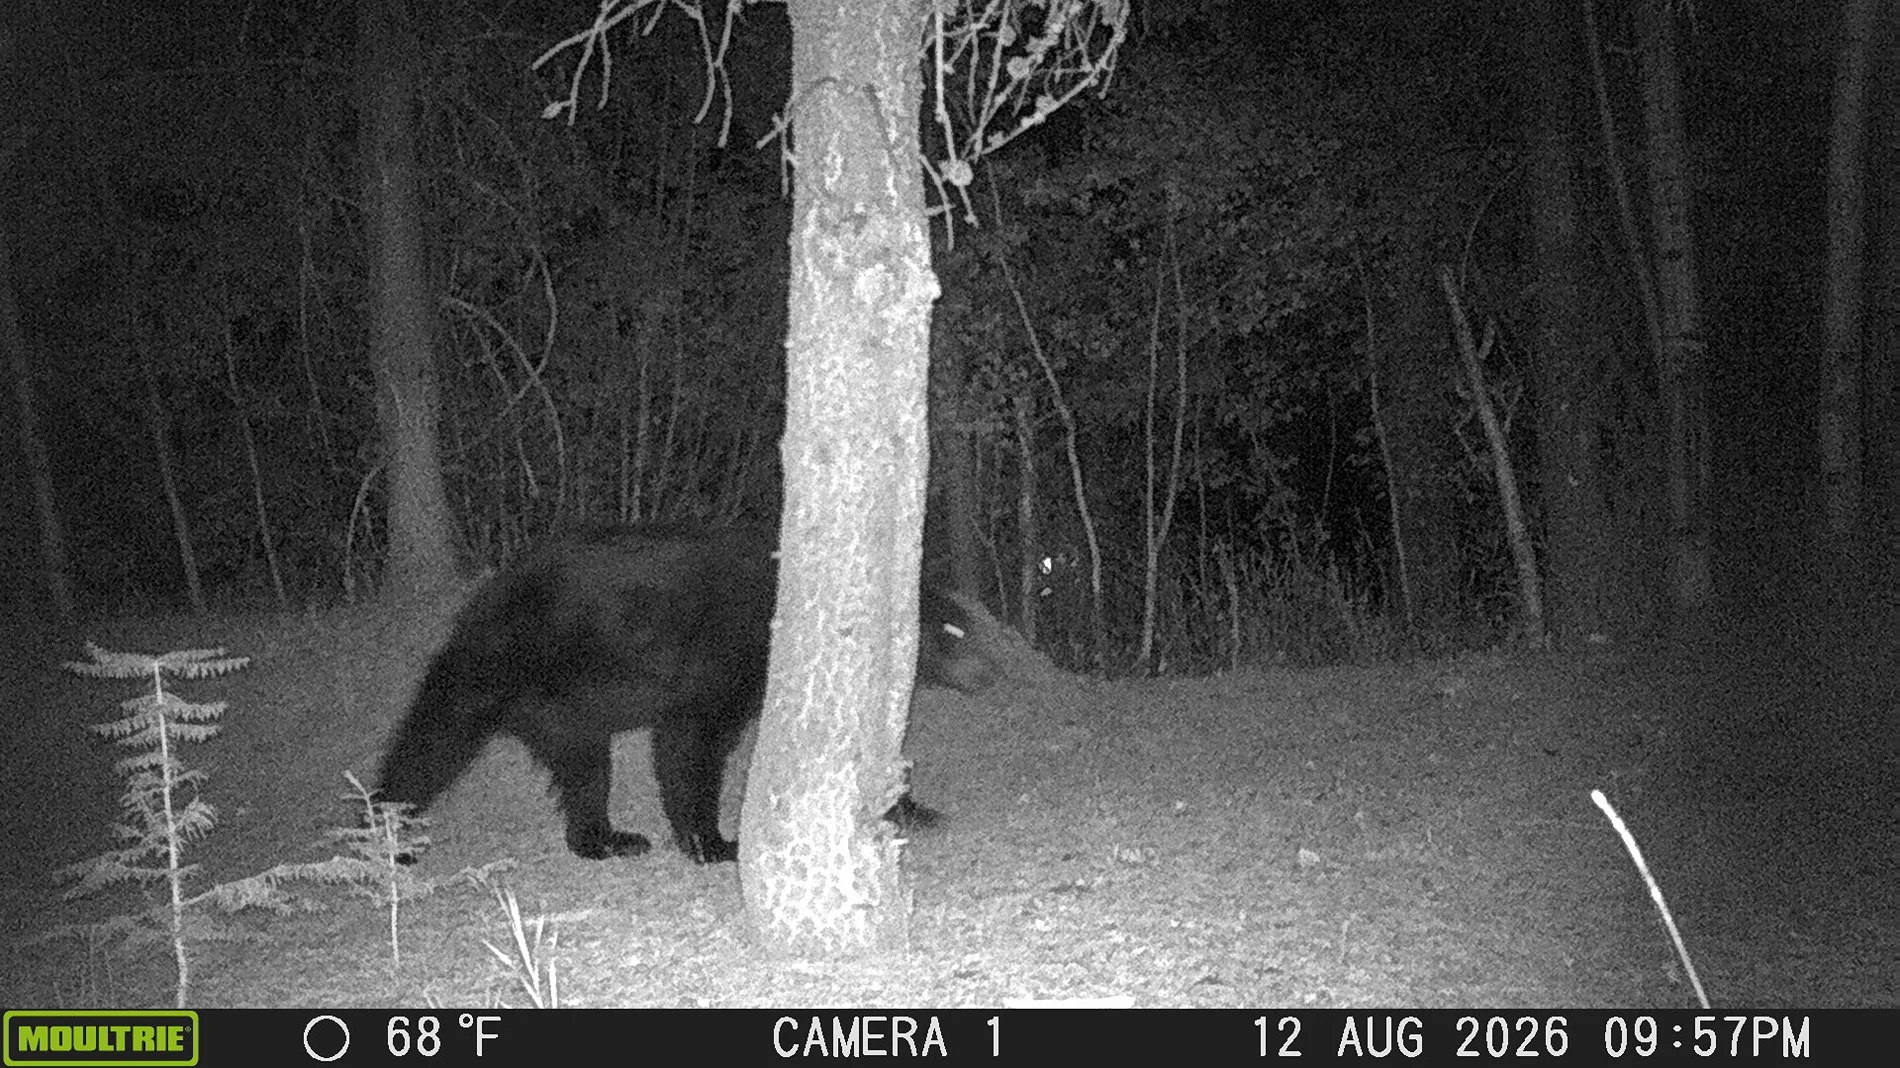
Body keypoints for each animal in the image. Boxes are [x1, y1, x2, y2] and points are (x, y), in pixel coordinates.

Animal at [374, 523, 980, 862]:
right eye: (955, 632)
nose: (991, 671)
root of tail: (477, 606)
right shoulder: (723, 651)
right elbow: (690, 740)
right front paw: (714, 843)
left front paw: (912, 809)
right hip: (498, 667)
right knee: (432, 739)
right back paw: (385, 833)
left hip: (561, 710)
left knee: (585, 770)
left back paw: (607, 839)